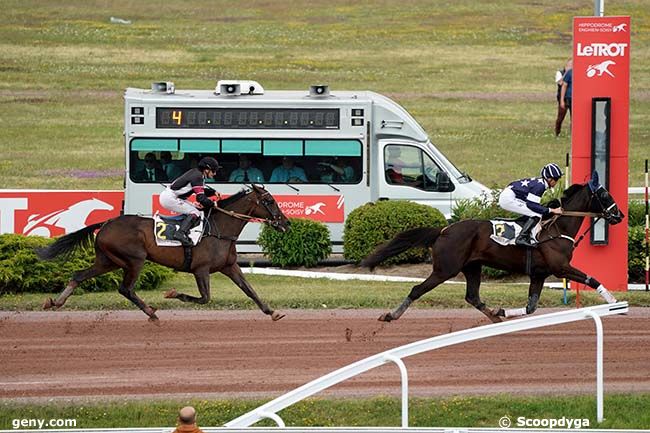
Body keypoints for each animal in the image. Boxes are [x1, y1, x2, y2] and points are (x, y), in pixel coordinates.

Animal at [36, 184, 288, 322]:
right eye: (268, 200)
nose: (285, 223)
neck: (219, 230)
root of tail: (106, 223)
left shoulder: (229, 266)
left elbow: (250, 290)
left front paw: (271, 312)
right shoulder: (201, 269)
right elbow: (205, 298)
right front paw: (172, 293)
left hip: (108, 261)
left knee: (79, 275)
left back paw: (55, 302)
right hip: (134, 260)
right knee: (126, 289)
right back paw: (152, 313)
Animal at [360, 170, 624, 322]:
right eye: (605, 195)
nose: (619, 215)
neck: (557, 227)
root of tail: (444, 230)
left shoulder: (539, 273)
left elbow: (531, 307)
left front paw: (503, 311)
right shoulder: (560, 268)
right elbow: (592, 278)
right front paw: (614, 303)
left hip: (472, 267)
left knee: (472, 296)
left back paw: (495, 317)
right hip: (445, 269)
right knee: (417, 290)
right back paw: (391, 315)